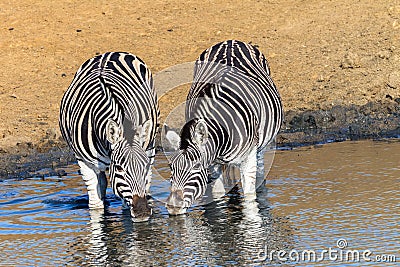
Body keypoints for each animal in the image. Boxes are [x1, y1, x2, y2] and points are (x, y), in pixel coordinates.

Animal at [59, 51, 159, 222]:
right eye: (119, 168)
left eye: (144, 165)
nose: (142, 212)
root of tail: (110, 53)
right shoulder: (84, 162)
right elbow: (95, 206)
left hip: (150, 145)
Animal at [166, 39, 284, 216]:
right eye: (171, 168)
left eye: (196, 166)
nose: (173, 207)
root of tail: (231, 41)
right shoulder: (212, 163)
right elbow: (218, 194)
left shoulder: (248, 157)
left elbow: (249, 197)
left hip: (264, 144)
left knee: (260, 171)